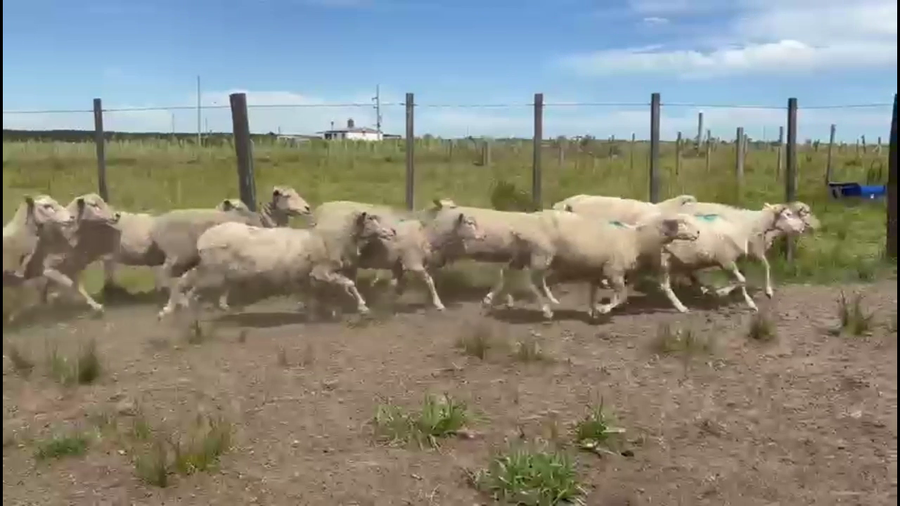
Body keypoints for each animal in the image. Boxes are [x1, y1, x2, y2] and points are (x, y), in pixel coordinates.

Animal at [157, 211, 397, 320]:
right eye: (372, 220)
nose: (393, 231)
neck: (333, 238)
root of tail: (204, 238)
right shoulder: (321, 271)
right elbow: (348, 284)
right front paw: (361, 306)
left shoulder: (311, 275)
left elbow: (318, 294)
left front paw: (324, 311)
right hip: (212, 271)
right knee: (185, 282)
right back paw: (172, 309)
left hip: (210, 270)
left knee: (186, 282)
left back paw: (183, 309)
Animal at [312, 199, 486, 310]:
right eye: (469, 222)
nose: (483, 236)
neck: (426, 232)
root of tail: (319, 212)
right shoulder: (413, 263)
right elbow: (429, 281)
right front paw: (439, 304)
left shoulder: (398, 265)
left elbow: (396, 285)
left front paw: (389, 300)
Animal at [489, 210, 701, 319]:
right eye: (682, 222)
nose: (698, 233)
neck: (636, 239)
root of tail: (519, 227)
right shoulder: (613, 270)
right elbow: (621, 295)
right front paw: (603, 309)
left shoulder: (597, 270)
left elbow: (593, 291)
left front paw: (593, 310)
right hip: (541, 254)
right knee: (531, 281)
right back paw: (546, 309)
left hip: (524, 254)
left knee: (507, 271)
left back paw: (490, 299)